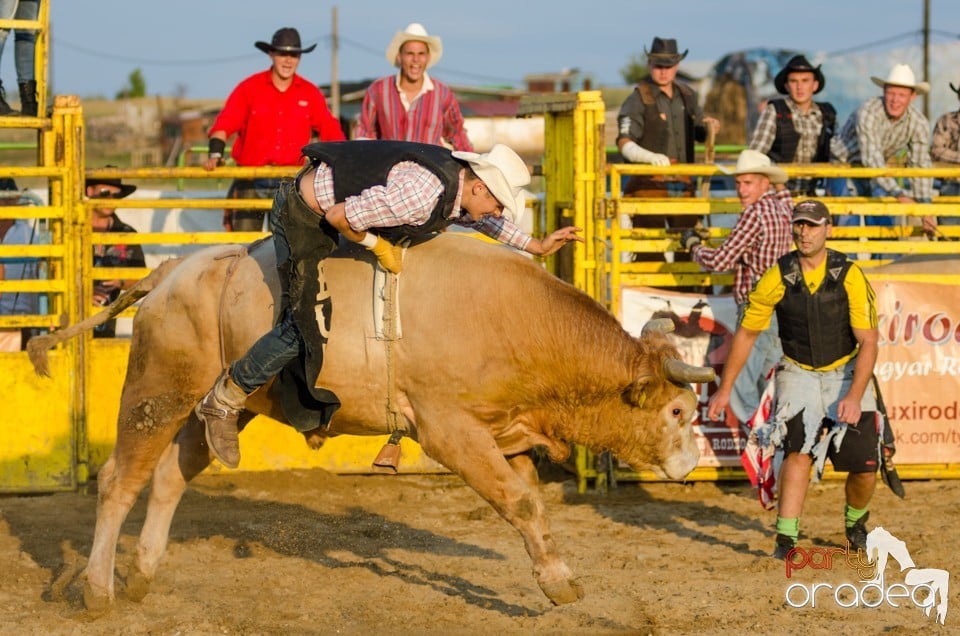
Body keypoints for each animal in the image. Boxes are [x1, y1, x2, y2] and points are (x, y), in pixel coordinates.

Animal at [28, 234, 712, 612]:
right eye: (677, 410)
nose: (693, 459)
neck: (515, 320)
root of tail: (174, 272)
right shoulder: (450, 432)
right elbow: (517, 502)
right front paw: (558, 582)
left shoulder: (506, 433)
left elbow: (531, 505)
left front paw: (557, 579)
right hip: (156, 391)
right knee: (120, 480)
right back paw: (98, 592)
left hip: (219, 408)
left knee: (171, 477)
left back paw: (141, 575)